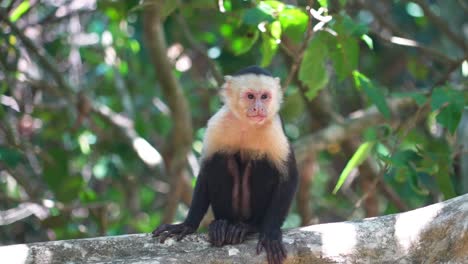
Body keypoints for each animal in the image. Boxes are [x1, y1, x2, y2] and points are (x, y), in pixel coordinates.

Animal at [154, 65, 300, 264]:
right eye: (250, 96)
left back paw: (250, 226)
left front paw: (270, 234)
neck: (246, 124)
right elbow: (205, 170)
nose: (259, 107)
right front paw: (187, 225)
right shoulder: (217, 123)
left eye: (264, 96)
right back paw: (222, 224)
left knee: (263, 162)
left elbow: (289, 177)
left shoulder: (274, 128)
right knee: (220, 159)